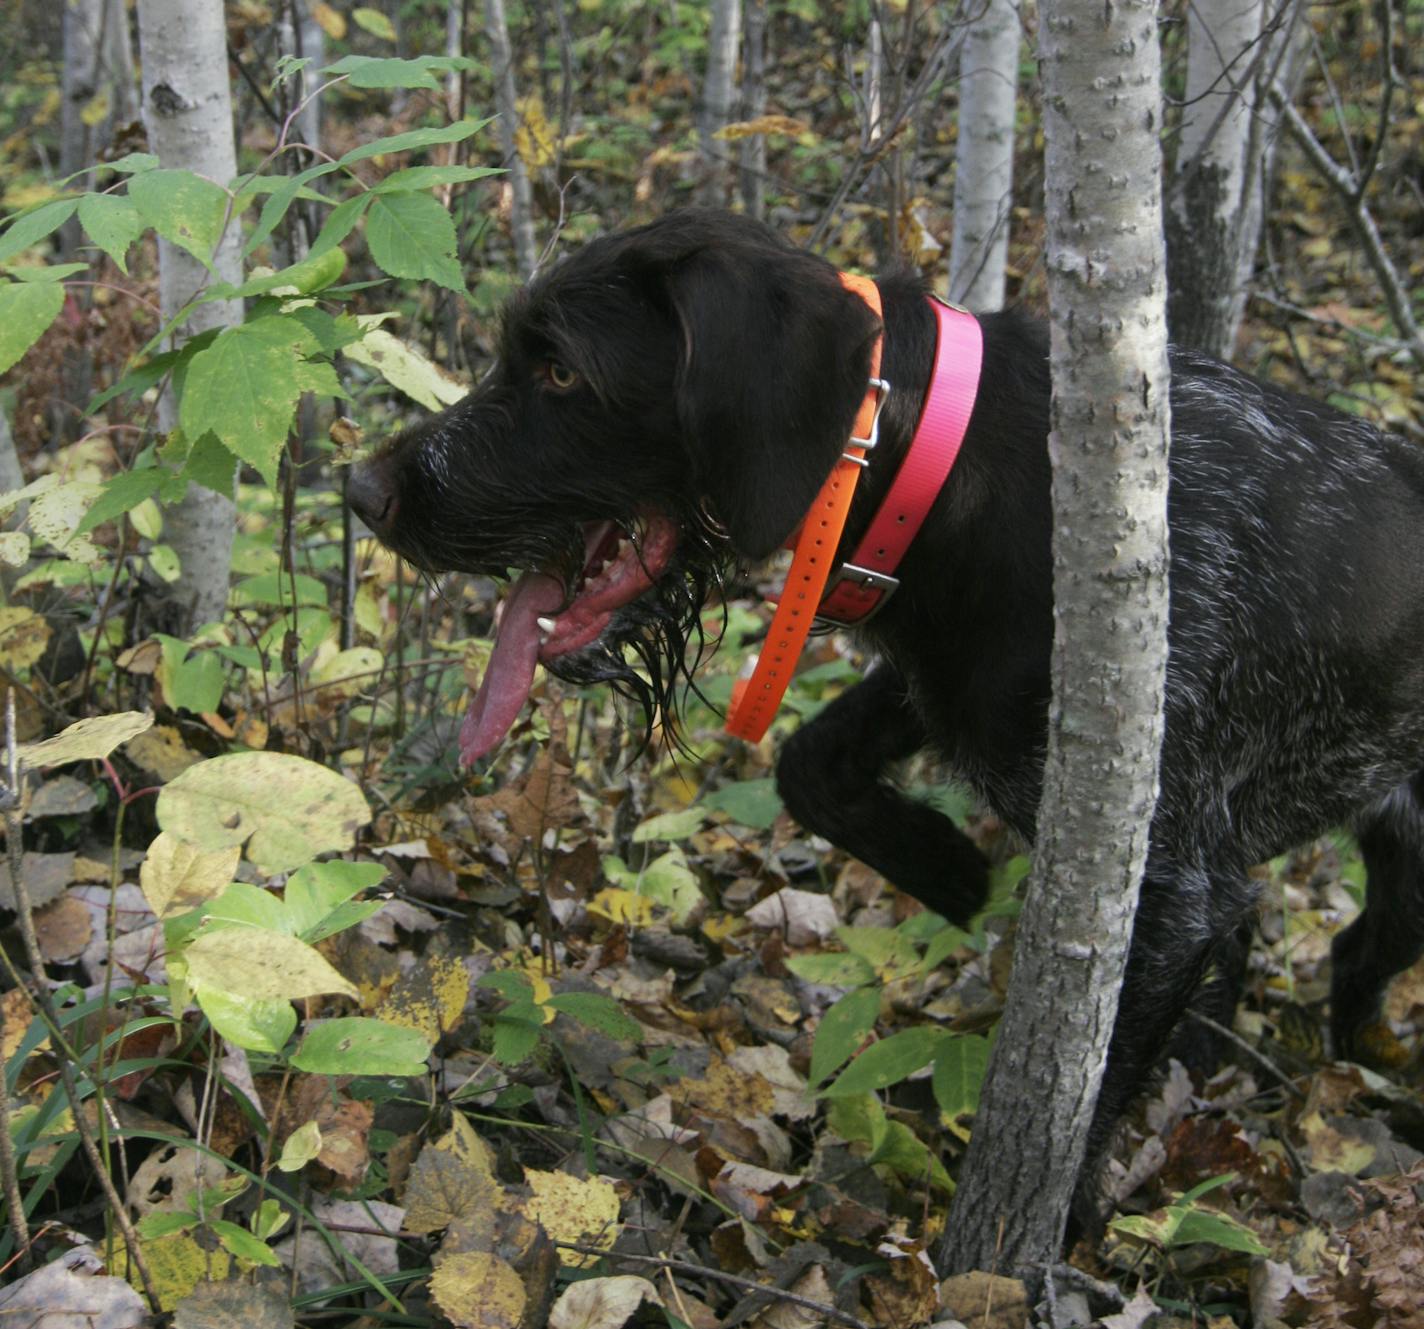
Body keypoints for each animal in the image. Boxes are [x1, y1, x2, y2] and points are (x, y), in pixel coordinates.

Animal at [350, 207, 1424, 1213]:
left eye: (563, 371)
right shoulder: (943, 675)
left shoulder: (1166, 885)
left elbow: (1073, 1131)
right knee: (1346, 950)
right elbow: (810, 763)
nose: (362, 491)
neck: (952, 460)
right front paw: (948, 869)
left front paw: (1030, 1253)